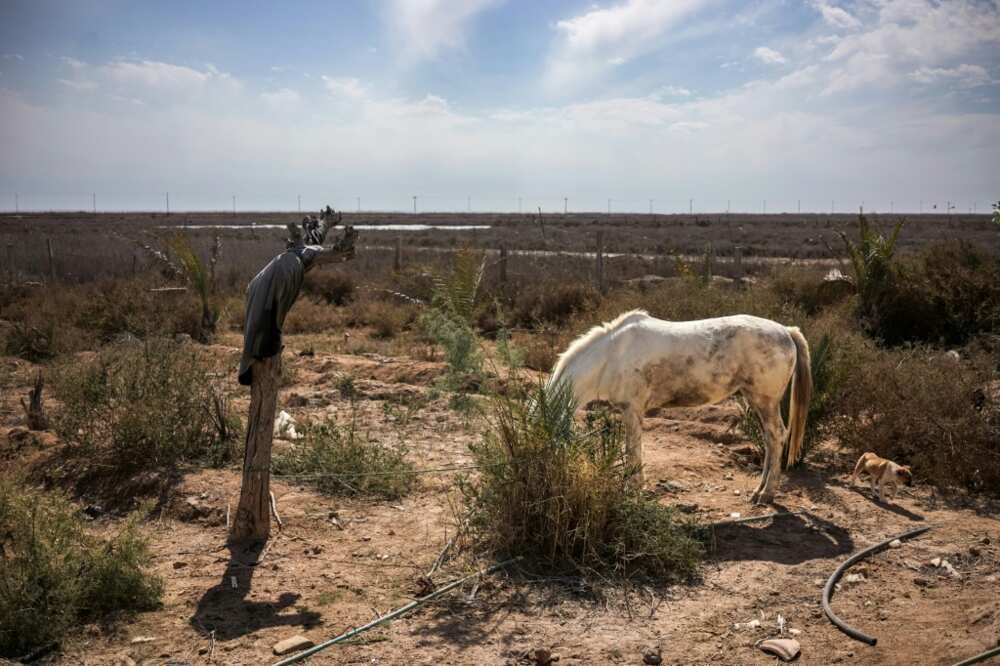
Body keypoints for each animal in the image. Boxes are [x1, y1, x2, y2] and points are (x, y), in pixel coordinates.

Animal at [548, 312, 812, 504]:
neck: (612, 355)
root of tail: (786, 331)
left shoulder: (632, 410)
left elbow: (632, 451)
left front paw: (632, 490)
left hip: (765, 400)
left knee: (776, 436)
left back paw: (766, 494)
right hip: (758, 401)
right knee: (770, 440)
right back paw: (759, 490)